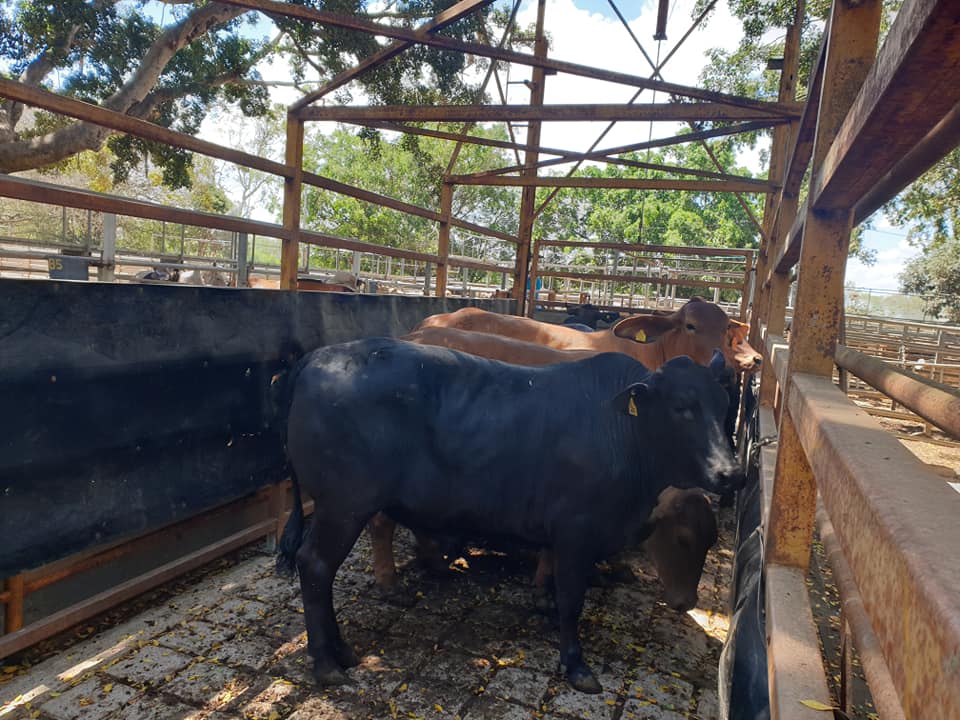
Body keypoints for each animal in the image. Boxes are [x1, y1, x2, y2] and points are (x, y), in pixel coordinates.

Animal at [277, 338, 742, 693]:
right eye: (682, 407)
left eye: (722, 405)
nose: (731, 472)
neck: (625, 434)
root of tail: (319, 356)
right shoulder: (577, 533)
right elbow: (572, 601)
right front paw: (576, 665)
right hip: (343, 506)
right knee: (315, 565)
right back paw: (325, 663)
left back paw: (343, 650)